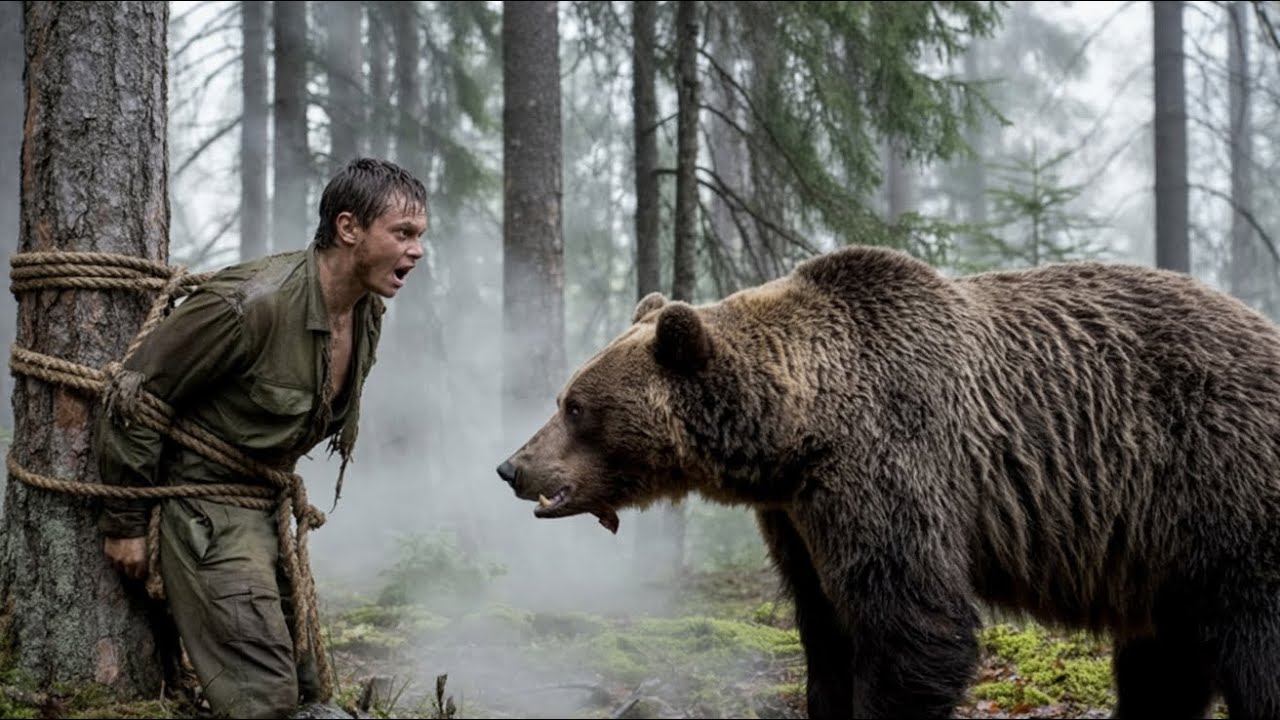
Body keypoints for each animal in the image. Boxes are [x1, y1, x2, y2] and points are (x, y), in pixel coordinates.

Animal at [495, 244, 1280, 720]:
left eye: (576, 405)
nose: (512, 467)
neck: (796, 435)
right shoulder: (796, 516)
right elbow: (825, 627)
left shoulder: (889, 465)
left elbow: (916, 621)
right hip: (1162, 549)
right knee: (1162, 661)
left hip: (1223, 489)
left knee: (1252, 644)